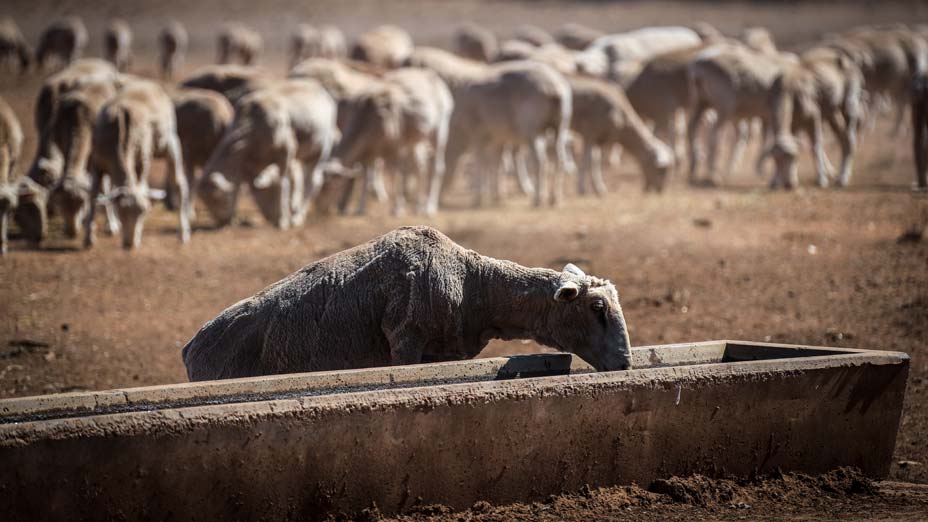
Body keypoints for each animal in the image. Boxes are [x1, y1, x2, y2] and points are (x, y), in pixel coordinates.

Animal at [83, 78, 190, 250]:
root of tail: (148, 83)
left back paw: (183, 233)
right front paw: (88, 237)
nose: (129, 244)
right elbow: (93, 193)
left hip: (169, 140)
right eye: (120, 210)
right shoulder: (96, 163)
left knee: (179, 183)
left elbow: (142, 186)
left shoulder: (141, 160)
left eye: (144, 212)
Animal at [199, 79, 337, 229]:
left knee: (313, 181)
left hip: (320, 150)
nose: (222, 222)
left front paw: (282, 221)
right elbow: (258, 188)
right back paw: (294, 207)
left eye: (217, 199)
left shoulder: (287, 149)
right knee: (300, 177)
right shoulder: (250, 166)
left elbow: (283, 182)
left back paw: (297, 217)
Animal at [331, 67, 454, 216]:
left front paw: (397, 208)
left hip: (440, 130)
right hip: (415, 140)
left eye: (327, 185)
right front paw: (360, 208)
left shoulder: (395, 147)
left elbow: (397, 173)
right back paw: (418, 206)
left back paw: (429, 207)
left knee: (437, 167)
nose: (339, 207)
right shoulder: (371, 152)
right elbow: (367, 176)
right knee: (421, 166)